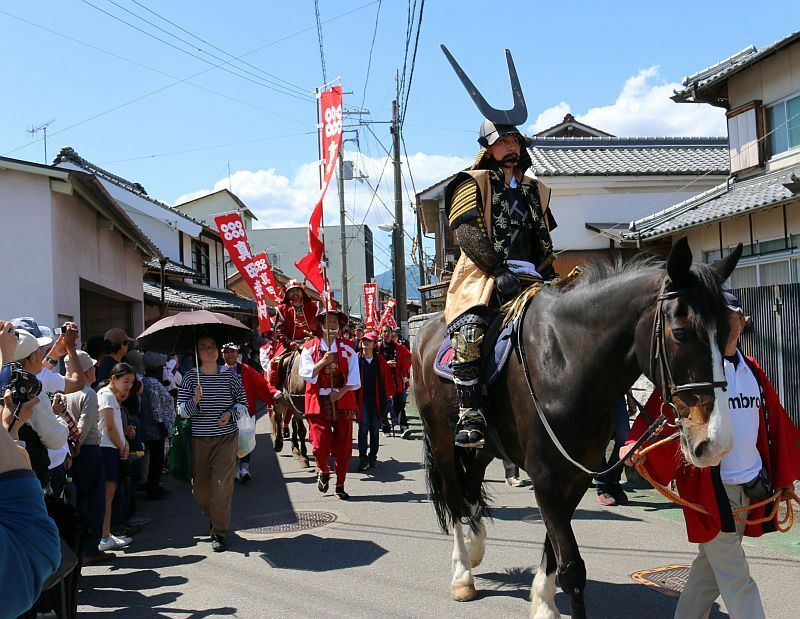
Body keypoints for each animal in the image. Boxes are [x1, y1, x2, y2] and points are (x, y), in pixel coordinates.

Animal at [416, 240, 740, 616]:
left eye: (728, 333)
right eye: (682, 333)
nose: (715, 442)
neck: (565, 361)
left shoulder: (576, 474)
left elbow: (555, 551)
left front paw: (543, 602)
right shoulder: (546, 476)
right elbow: (571, 567)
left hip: (484, 447)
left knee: (472, 486)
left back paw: (476, 544)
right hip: (441, 438)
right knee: (454, 496)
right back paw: (463, 574)